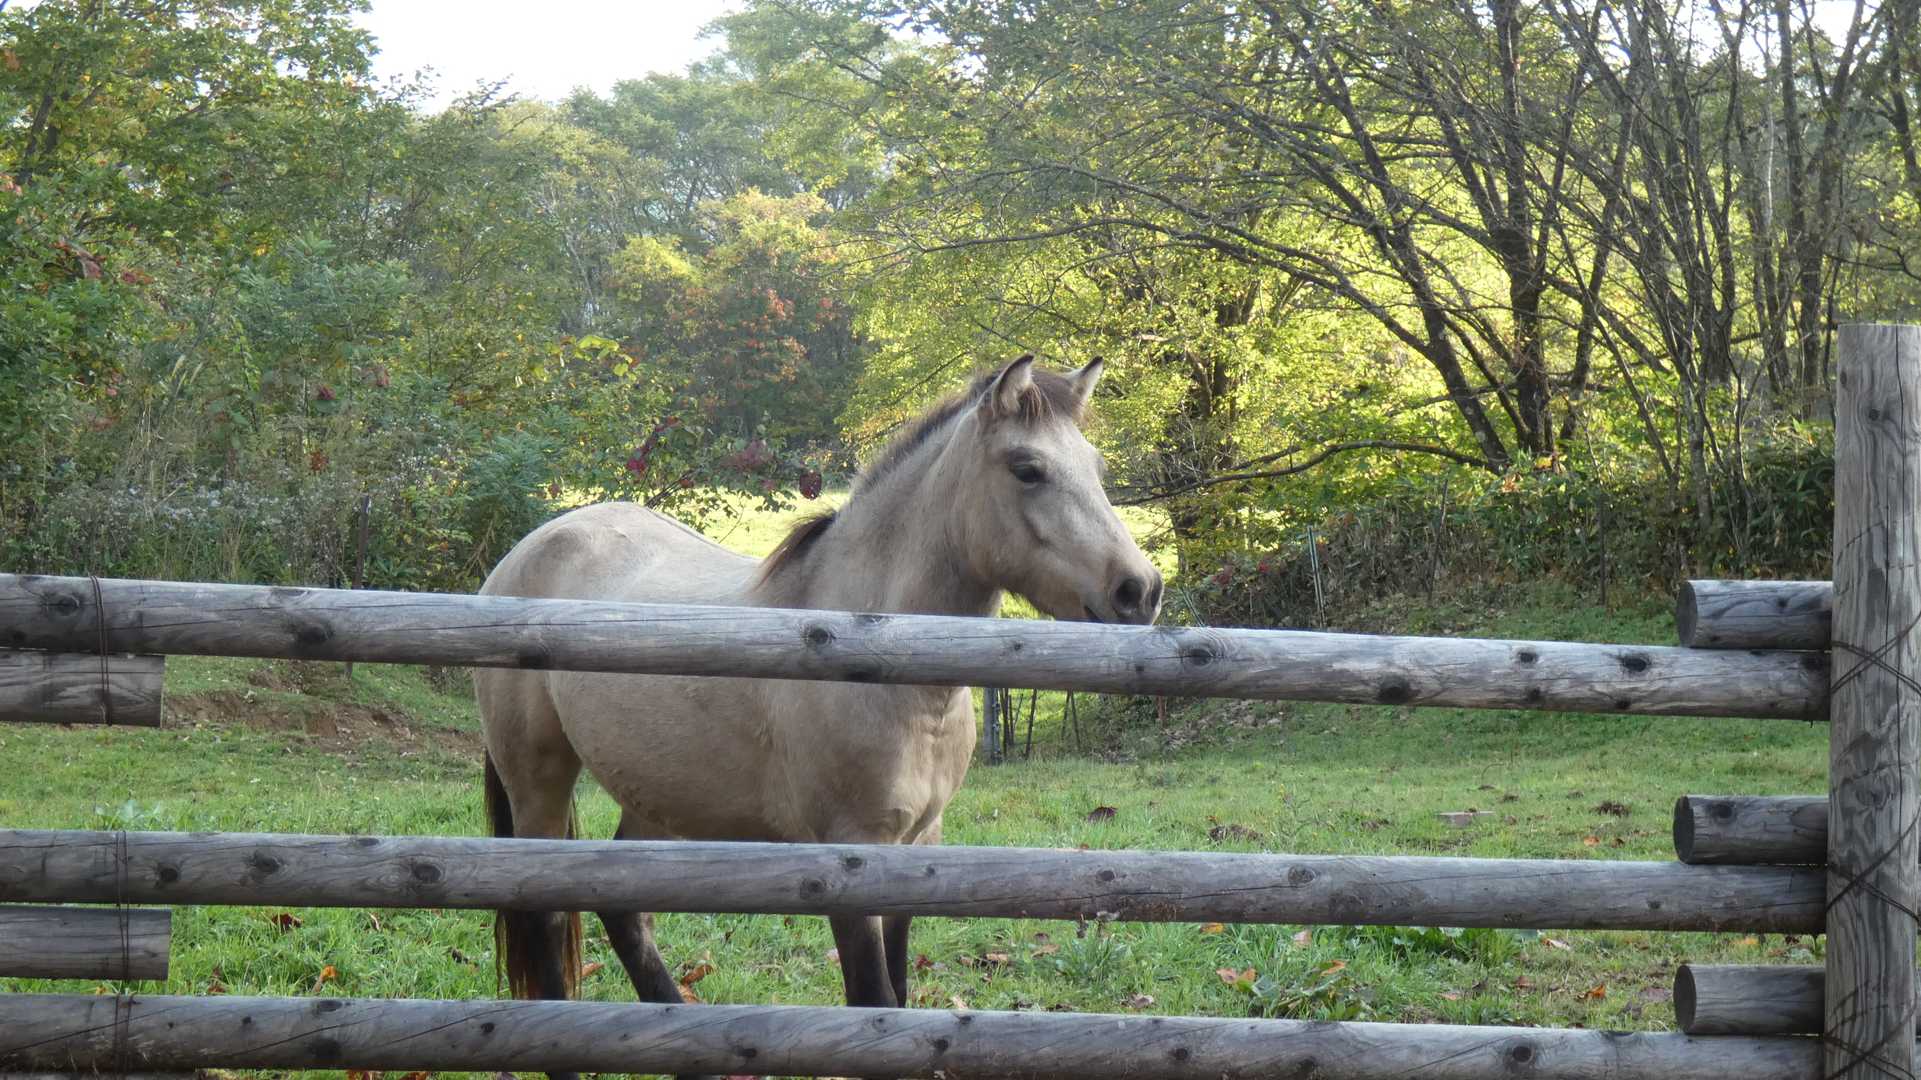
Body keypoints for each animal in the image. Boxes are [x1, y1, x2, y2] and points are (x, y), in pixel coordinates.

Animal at [475, 356, 1162, 1077]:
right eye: (1027, 468)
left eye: (1096, 466)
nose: (1138, 590)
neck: (877, 658)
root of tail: (526, 551)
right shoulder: (850, 857)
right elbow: (872, 1002)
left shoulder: (919, 847)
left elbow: (899, 994)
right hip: (539, 784)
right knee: (545, 918)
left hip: (660, 795)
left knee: (625, 909)